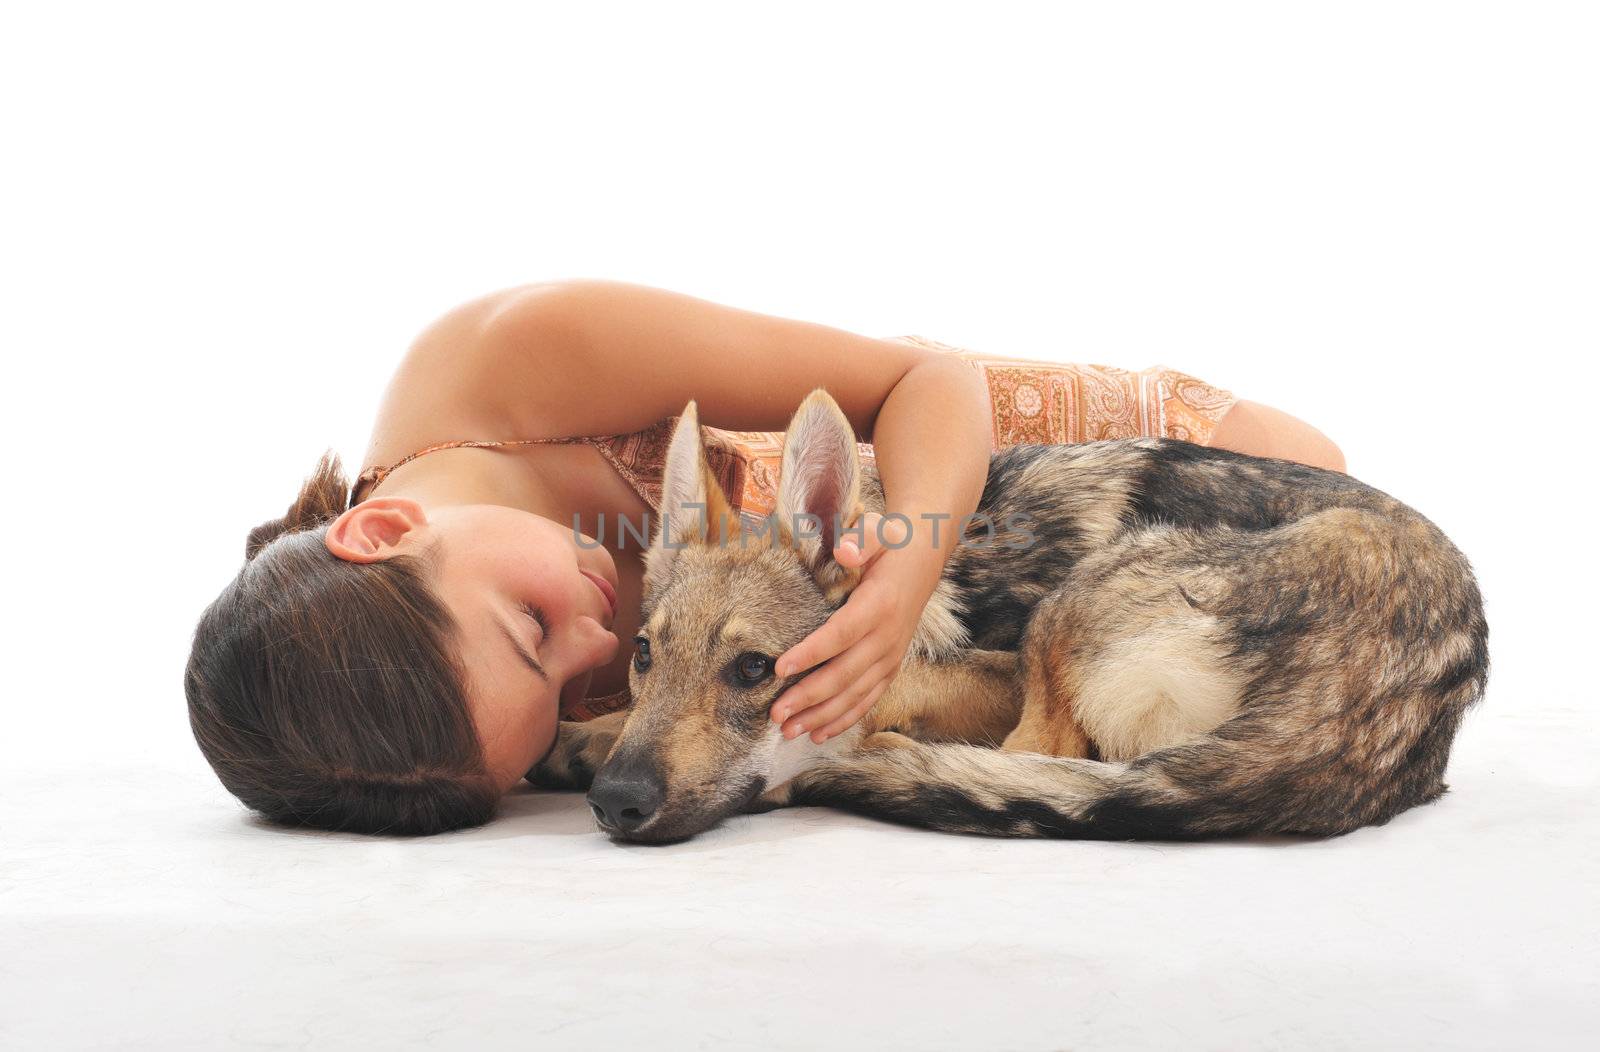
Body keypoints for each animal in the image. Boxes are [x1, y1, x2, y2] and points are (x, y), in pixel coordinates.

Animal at [537, 388, 1484, 837]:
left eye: (754, 670)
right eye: (643, 655)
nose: (616, 803)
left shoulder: (986, 672)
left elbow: (895, 700)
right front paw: (584, 736)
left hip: (1072, 607)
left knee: (1031, 756)